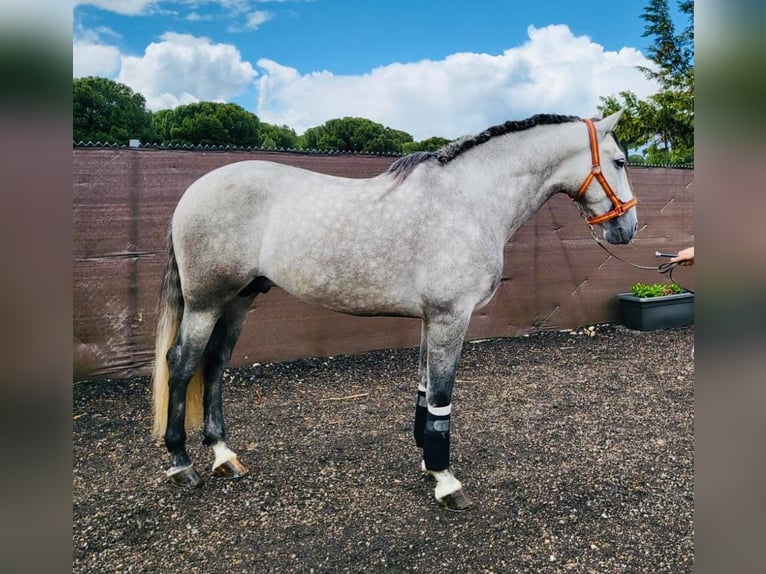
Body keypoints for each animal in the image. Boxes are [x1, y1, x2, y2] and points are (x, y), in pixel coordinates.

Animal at [152, 111, 637, 511]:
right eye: (619, 162)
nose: (627, 228)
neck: (468, 198)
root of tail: (193, 192)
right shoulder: (450, 317)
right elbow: (441, 395)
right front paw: (446, 481)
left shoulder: (430, 320)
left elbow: (424, 390)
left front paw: (427, 463)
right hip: (206, 303)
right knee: (182, 365)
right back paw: (181, 462)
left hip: (238, 300)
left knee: (214, 365)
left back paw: (224, 455)